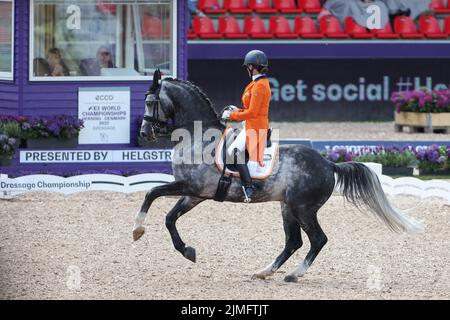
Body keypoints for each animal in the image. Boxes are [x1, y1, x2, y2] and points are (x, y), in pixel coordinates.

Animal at [134, 70, 422, 282]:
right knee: (293, 241)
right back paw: (264, 271)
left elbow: (152, 193)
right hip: (287, 207)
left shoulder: (192, 187)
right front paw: (187, 251)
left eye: (149, 102)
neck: (199, 138)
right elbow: (170, 217)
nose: (144, 133)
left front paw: (137, 229)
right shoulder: (195, 194)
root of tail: (328, 164)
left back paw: (294, 274)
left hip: (302, 207)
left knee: (317, 239)